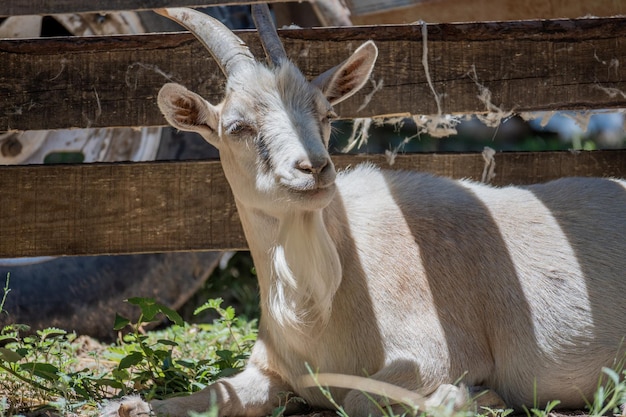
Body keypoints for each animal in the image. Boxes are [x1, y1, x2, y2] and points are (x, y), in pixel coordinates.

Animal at [103, 4, 624, 416]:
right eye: (237, 126)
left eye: (327, 114)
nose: (313, 168)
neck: (320, 308)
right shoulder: (272, 369)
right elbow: (210, 395)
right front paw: (130, 405)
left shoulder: (441, 352)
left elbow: (358, 398)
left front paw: (469, 398)